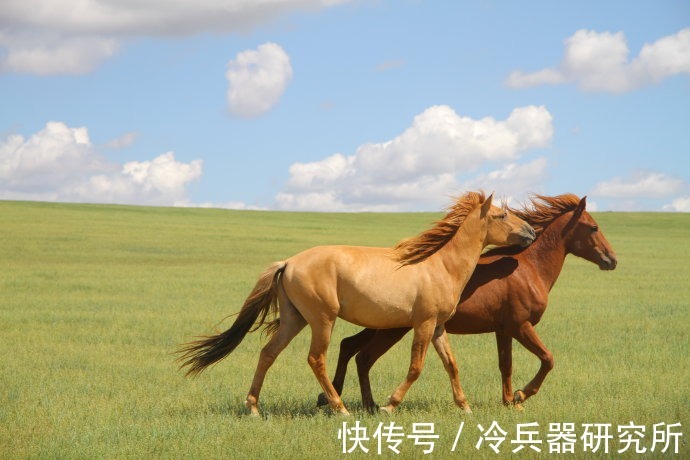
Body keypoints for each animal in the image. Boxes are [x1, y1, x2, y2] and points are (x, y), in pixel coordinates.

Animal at [177, 191, 536, 416]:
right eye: (503, 214)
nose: (531, 232)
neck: (439, 265)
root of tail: (289, 262)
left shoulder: (438, 327)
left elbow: (451, 364)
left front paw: (464, 407)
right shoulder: (423, 324)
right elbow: (416, 367)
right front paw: (389, 405)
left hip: (295, 320)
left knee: (268, 354)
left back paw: (253, 407)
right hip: (322, 320)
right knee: (316, 359)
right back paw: (340, 408)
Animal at [318, 194, 617, 412]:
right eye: (594, 227)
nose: (612, 260)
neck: (529, 268)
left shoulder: (503, 330)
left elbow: (506, 365)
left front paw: (509, 401)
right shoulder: (521, 325)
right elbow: (548, 359)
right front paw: (521, 395)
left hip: (384, 326)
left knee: (351, 348)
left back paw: (341, 400)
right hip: (393, 329)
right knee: (362, 355)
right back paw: (360, 403)